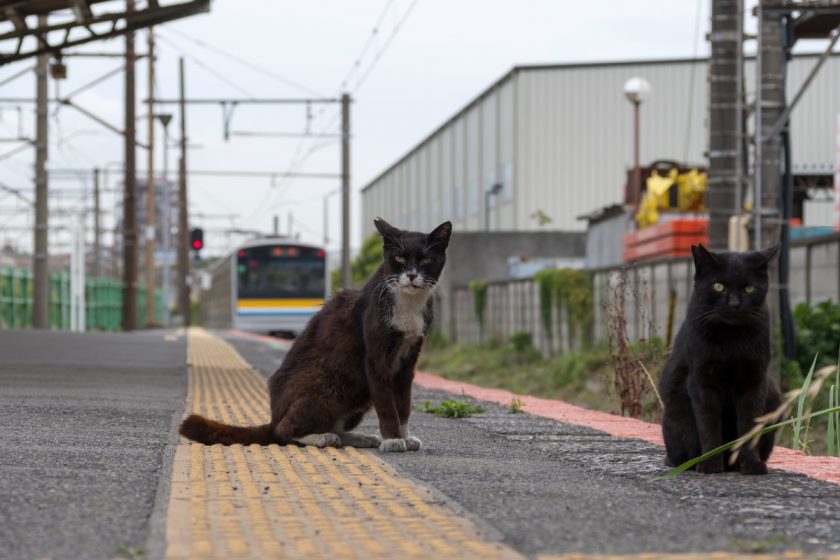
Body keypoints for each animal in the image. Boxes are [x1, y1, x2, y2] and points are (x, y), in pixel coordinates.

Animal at [179, 218, 452, 450]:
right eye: (399, 258)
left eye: (426, 260)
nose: (412, 275)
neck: (408, 302)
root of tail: (273, 416)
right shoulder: (375, 359)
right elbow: (386, 404)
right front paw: (393, 439)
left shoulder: (408, 359)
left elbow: (403, 403)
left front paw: (405, 437)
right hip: (329, 381)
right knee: (285, 431)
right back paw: (321, 437)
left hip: (358, 392)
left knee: (334, 425)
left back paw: (357, 437)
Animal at [660, 243, 784, 474]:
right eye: (718, 287)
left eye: (748, 289)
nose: (734, 304)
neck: (731, 340)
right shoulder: (701, 381)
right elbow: (708, 425)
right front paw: (709, 463)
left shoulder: (755, 381)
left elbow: (749, 427)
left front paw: (751, 464)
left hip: (772, 396)